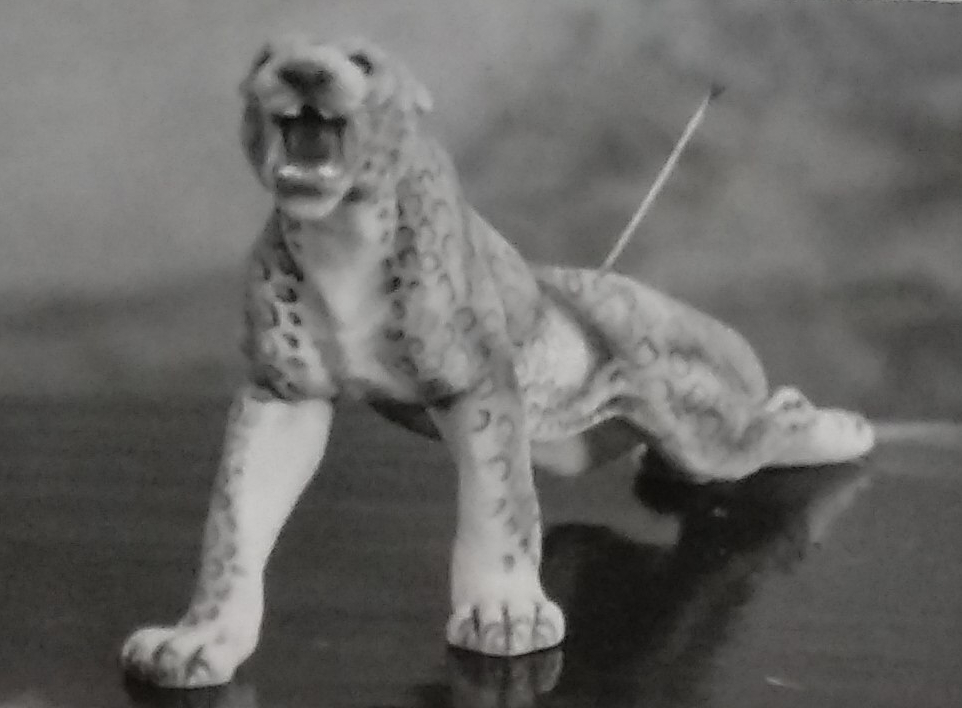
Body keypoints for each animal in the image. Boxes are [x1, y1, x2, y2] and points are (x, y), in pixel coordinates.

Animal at [119, 35, 875, 688]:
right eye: (265, 59)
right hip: (584, 442)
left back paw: (844, 427)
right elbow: (233, 526)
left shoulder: (478, 385)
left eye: (361, 61)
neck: (341, 233)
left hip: (704, 432)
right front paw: (199, 641)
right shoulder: (284, 396)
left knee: (772, 421)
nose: (304, 72)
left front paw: (505, 613)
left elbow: (497, 506)